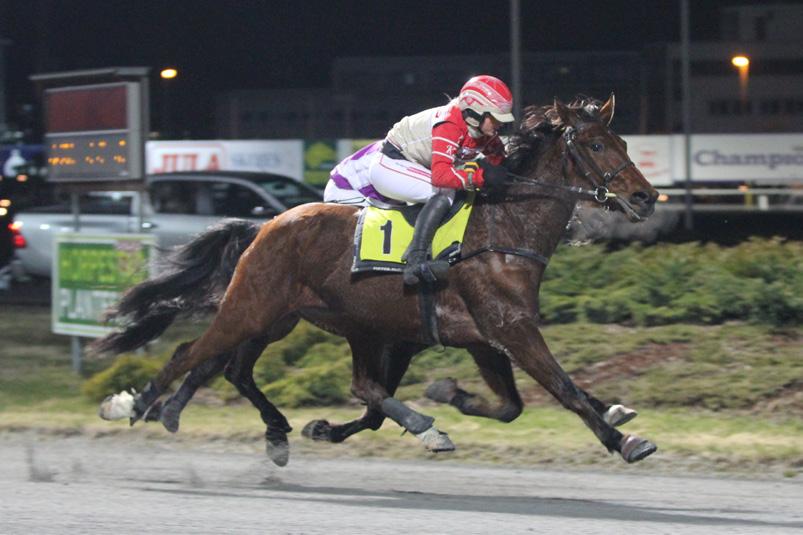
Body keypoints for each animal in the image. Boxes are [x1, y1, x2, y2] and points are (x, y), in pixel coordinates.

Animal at [94, 97, 660, 468]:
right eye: (595, 144)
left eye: (623, 142)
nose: (647, 196)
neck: (503, 230)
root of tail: (267, 224)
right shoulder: (510, 328)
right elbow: (563, 387)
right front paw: (625, 440)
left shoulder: (482, 337)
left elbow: (511, 405)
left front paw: (447, 393)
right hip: (254, 309)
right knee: (191, 352)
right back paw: (135, 404)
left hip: (289, 320)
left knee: (235, 367)